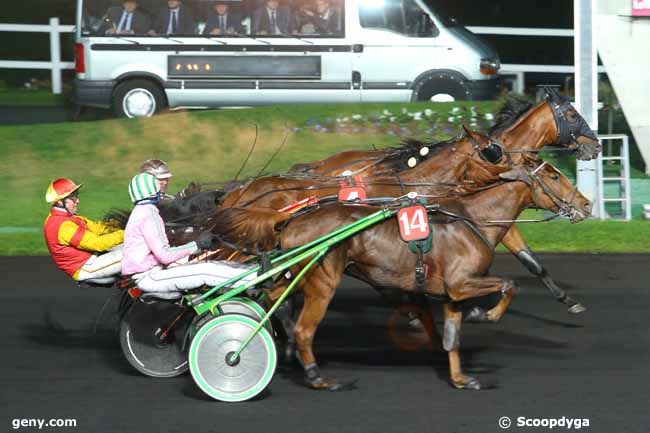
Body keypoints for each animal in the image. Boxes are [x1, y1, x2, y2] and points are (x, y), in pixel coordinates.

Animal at [214, 157, 592, 390]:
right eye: (554, 175)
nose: (586, 204)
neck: (474, 217)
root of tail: (291, 218)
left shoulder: (452, 292)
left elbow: (452, 338)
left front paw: (461, 378)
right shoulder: (461, 283)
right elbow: (509, 285)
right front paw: (483, 315)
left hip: (298, 274)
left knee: (272, 297)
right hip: (322, 279)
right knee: (305, 329)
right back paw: (315, 375)